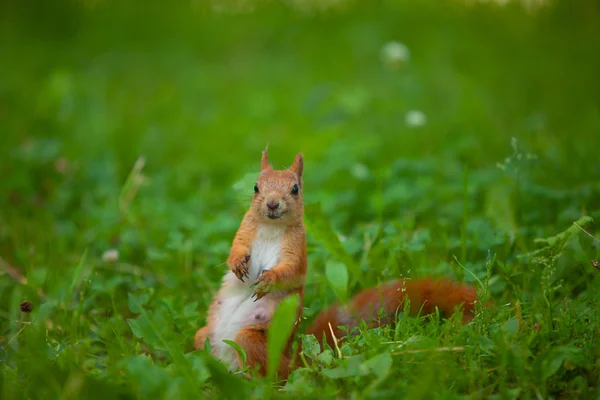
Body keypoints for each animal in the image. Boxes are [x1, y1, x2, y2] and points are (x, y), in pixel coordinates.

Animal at [195, 149, 476, 378]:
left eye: (295, 189)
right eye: (255, 187)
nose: (272, 203)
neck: (271, 226)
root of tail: (292, 362)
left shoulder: (297, 250)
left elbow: (289, 270)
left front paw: (268, 281)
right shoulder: (245, 232)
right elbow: (235, 250)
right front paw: (237, 264)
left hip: (251, 341)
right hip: (203, 337)